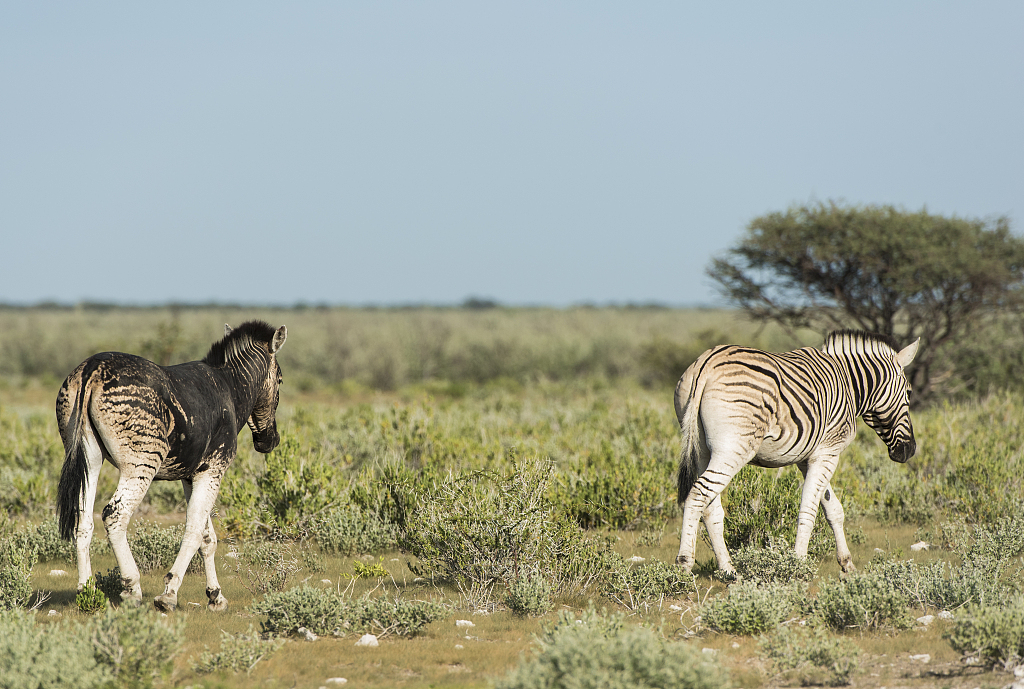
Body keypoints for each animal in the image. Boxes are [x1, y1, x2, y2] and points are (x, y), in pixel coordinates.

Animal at [58, 319, 286, 610]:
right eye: (280, 380)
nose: (270, 441)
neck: (230, 388)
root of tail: (91, 369)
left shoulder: (191, 475)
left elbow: (207, 538)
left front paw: (216, 596)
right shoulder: (213, 470)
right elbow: (194, 530)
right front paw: (169, 593)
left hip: (89, 457)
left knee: (83, 519)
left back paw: (87, 592)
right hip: (141, 464)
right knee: (115, 515)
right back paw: (132, 588)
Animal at [671, 329, 921, 573]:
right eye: (909, 393)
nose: (909, 451)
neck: (849, 384)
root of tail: (707, 364)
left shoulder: (810, 457)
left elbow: (833, 509)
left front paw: (847, 564)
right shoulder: (829, 451)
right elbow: (809, 510)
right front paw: (798, 563)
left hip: (703, 451)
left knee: (710, 509)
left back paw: (729, 571)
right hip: (733, 448)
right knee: (697, 495)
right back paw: (684, 564)